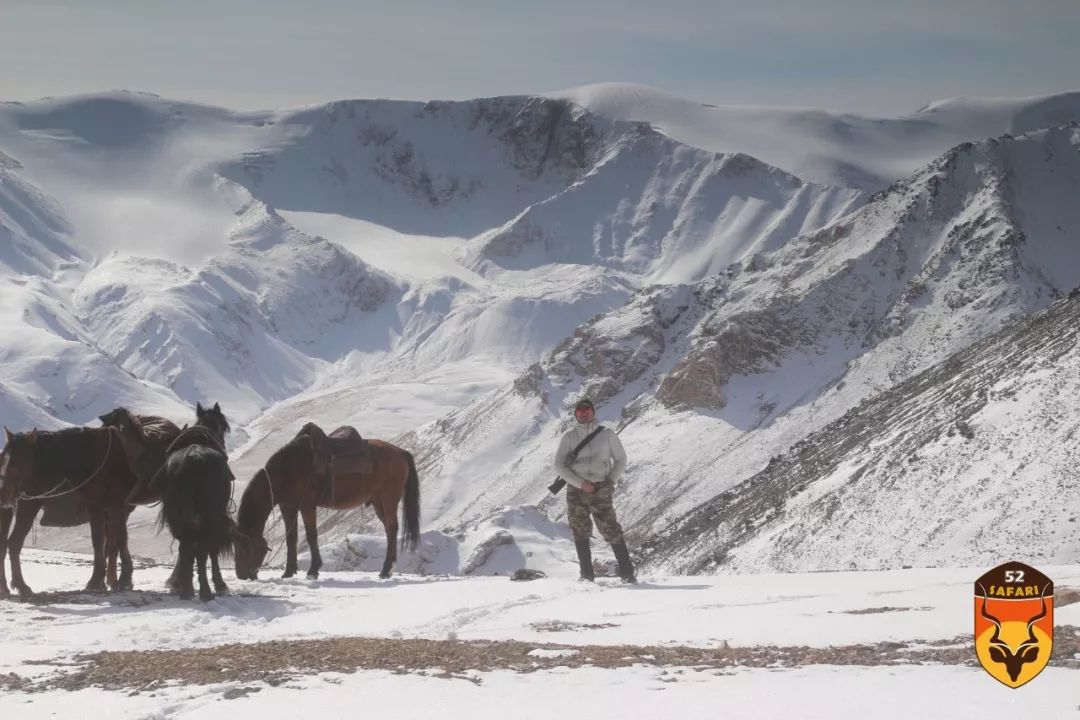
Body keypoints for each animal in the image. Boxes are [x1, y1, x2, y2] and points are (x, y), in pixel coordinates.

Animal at [0, 425, 137, 600]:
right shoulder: (104, 507)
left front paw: (110, 582)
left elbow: (111, 544)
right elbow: (108, 541)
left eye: (18, 463)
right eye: (5, 460)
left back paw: (5, 588)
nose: (2, 495)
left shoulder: (111, 509)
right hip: (28, 506)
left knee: (4, 544)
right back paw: (21, 586)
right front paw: (106, 581)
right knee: (14, 543)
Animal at [153, 403, 233, 600]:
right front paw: (220, 584)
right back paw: (203, 591)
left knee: (186, 546)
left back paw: (186, 588)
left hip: (179, 514)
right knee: (202, 549)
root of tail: (196, 458)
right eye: (224, 427)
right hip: (210, 514)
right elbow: (211, 550)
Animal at [234, 425, 419, 582]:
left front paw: (313, 570)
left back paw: (385, 570)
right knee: (389, 529)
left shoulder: (307, 506)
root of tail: (400, 452)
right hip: (378, 502)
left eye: (244, 547)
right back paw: (388, 569)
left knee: (391, 528)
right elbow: (291, 537)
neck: (289, 469)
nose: (241, 574)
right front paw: (288, 571)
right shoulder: (288, 506)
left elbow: (311, 535)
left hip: (388, 499)